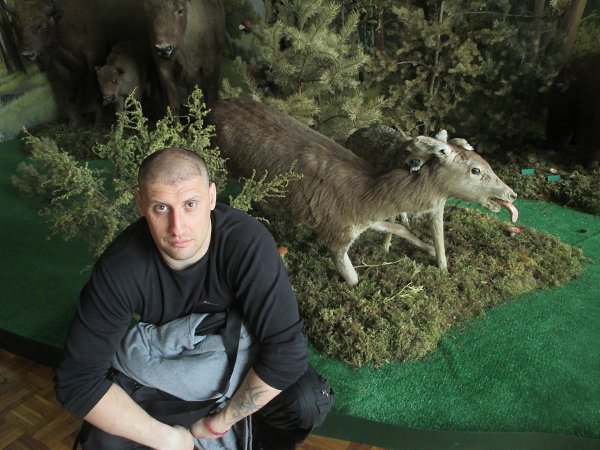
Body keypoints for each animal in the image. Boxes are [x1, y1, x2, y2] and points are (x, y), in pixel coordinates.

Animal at [207, 99, 518, 286]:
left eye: (486, 162)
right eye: (476, 170)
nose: (511, 194)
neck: (367, 197)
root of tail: (214, 105)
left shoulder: (368, 221)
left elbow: (400, 228)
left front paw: (430, 250)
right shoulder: (337, 232)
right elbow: (352, 278)